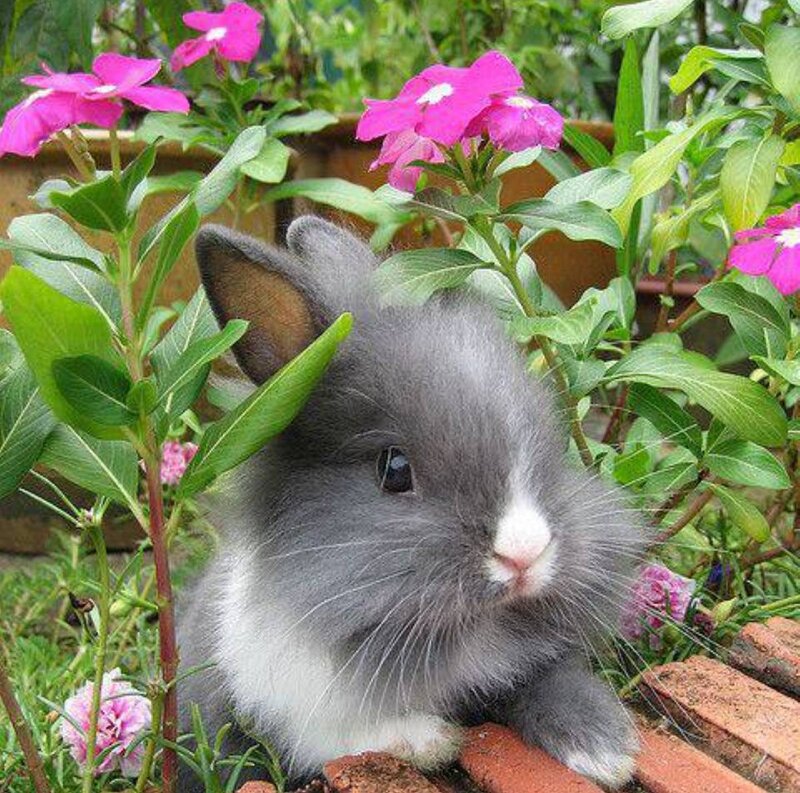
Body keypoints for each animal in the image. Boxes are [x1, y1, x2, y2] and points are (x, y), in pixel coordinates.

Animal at [176, 216, 647, 792]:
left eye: (551, 446)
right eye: (393, 469)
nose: (525, 554)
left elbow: (552, 680)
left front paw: (606, 749)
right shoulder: (293, 715)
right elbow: (345, 736)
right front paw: (432, 739)